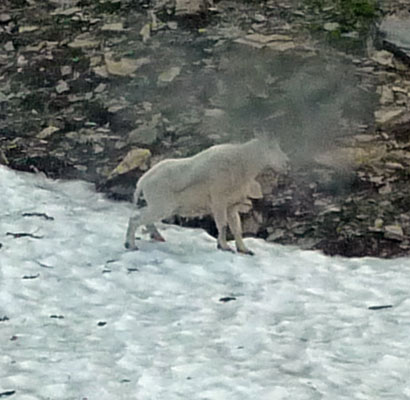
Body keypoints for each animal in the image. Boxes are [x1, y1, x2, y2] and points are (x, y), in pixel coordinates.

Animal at [125, 136, 288, 255]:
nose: (287, 163)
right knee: (136, 219)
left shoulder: (231, 206)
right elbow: (222, 225)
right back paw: (131, 245)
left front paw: (244, 250)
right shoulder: (219, 202)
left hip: (159, 206)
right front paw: (224, 247)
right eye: (271, 148)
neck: (243, 164)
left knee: (142, 217)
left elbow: (236, 228)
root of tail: (143, 180)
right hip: (162, 206)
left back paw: (156, 237)